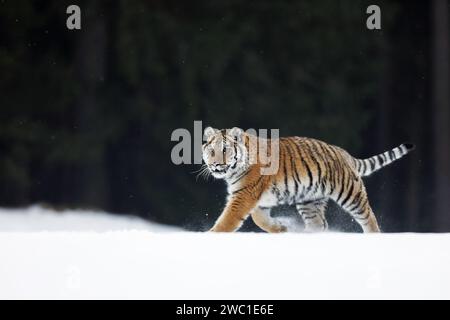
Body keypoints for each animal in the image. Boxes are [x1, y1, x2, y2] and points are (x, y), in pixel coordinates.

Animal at [201, 126, 414, 234]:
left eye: (225, 150)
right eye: (211, 150)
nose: (215, 165)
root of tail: (343, 152)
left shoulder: (244, 194)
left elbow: (228, 219)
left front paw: (211, 235)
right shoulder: (258, 199)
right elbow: (259, 218)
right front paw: (281, 228)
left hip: (349, 193)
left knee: (369, 217)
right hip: (309, 200)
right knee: (319, 223)